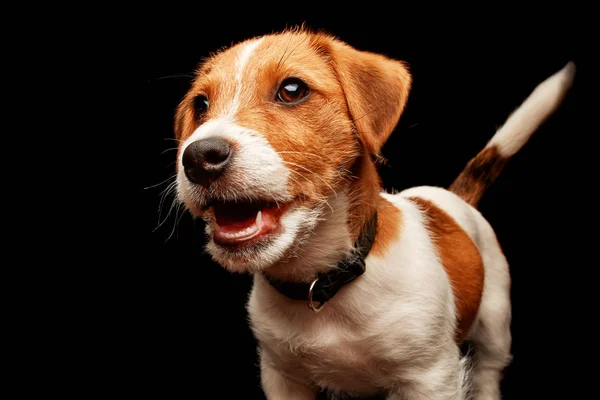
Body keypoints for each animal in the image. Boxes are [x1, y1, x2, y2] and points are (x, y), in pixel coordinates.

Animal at [171, 29, 576, 398]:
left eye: (292, 90)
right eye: (201, 105)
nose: (198, 158)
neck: (322, 283)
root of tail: (453, 196)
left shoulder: (430, 378)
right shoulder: (282, 375)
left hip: (495, 323)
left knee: (489, 372)